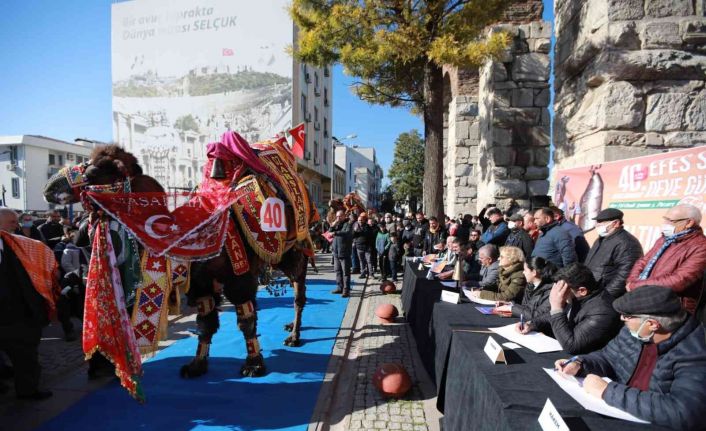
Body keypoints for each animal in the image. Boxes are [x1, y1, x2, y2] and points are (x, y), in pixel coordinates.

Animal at [43, 129, 316, 402]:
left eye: (93, 171)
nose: (50, 186)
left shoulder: (240, 277)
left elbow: (246, 320)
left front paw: (254, 365)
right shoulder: (201, 285)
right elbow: (205, 324)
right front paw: (196, 365)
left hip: (293, 252)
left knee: (298, 291)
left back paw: (294, 335)